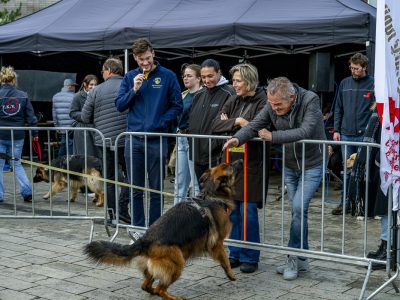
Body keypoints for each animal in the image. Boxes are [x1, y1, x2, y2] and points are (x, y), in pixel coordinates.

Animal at [84, 161, 242, 300]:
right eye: (229, 166)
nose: (240, 159)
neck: (212, 195)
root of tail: (144, 240)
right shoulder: (217, 243)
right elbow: (225, 259)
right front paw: (231, 275)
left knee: (146, 286)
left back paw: (154, 291)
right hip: (177, 263)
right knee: (160, 289)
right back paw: (173, 297)